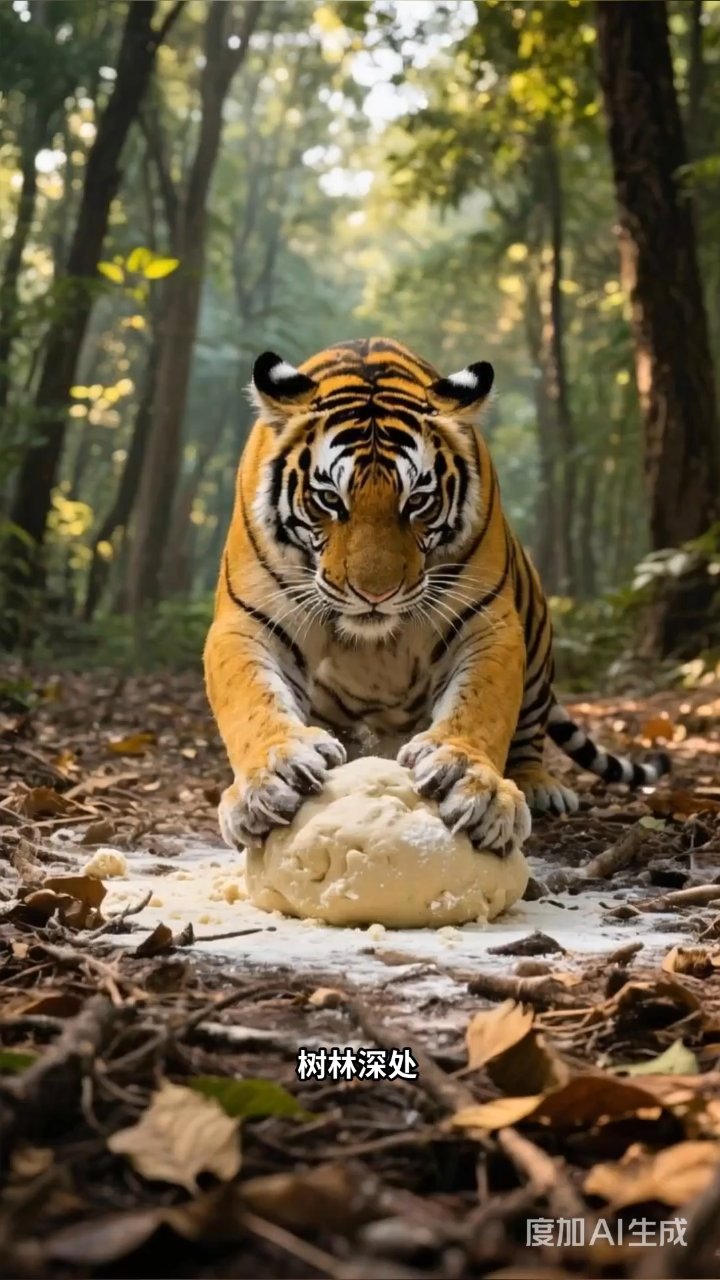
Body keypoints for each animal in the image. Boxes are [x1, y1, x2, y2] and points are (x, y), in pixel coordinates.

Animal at [204, 336, 668, 856]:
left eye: (418, 503)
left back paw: (538, 785)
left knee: (529, 731)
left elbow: (480, 706)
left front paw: (468, 777)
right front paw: (272, 776)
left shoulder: (486, 621)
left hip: (537, 648)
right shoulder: (249, 622)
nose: (375, 593)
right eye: (329, 500)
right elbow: (251, 701)